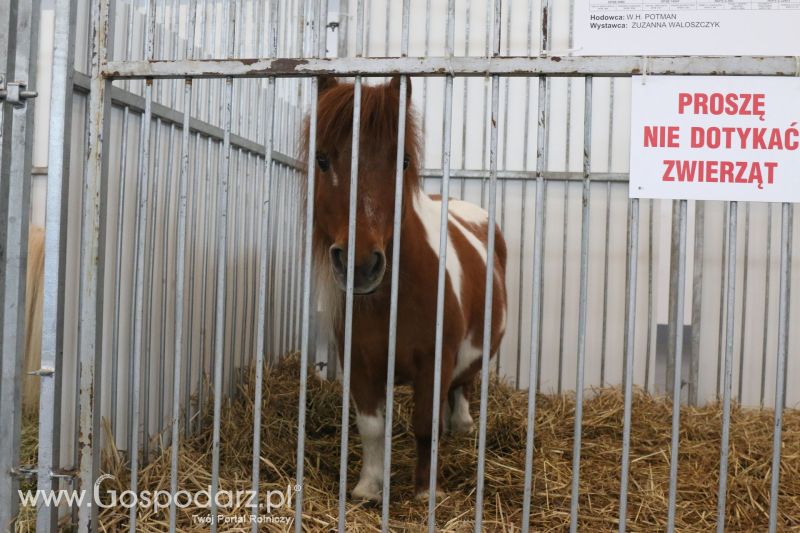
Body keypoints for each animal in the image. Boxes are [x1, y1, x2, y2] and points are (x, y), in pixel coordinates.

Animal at [306, 77, 506, 500]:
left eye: (403, 161)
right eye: (322, 160)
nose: (360, 265)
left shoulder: (436, 361)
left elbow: (427, 426)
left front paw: (426, 493)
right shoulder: (359, 365)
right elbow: (371, 428)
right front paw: (368, 487)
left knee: (464, 384)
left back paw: (463, 425)